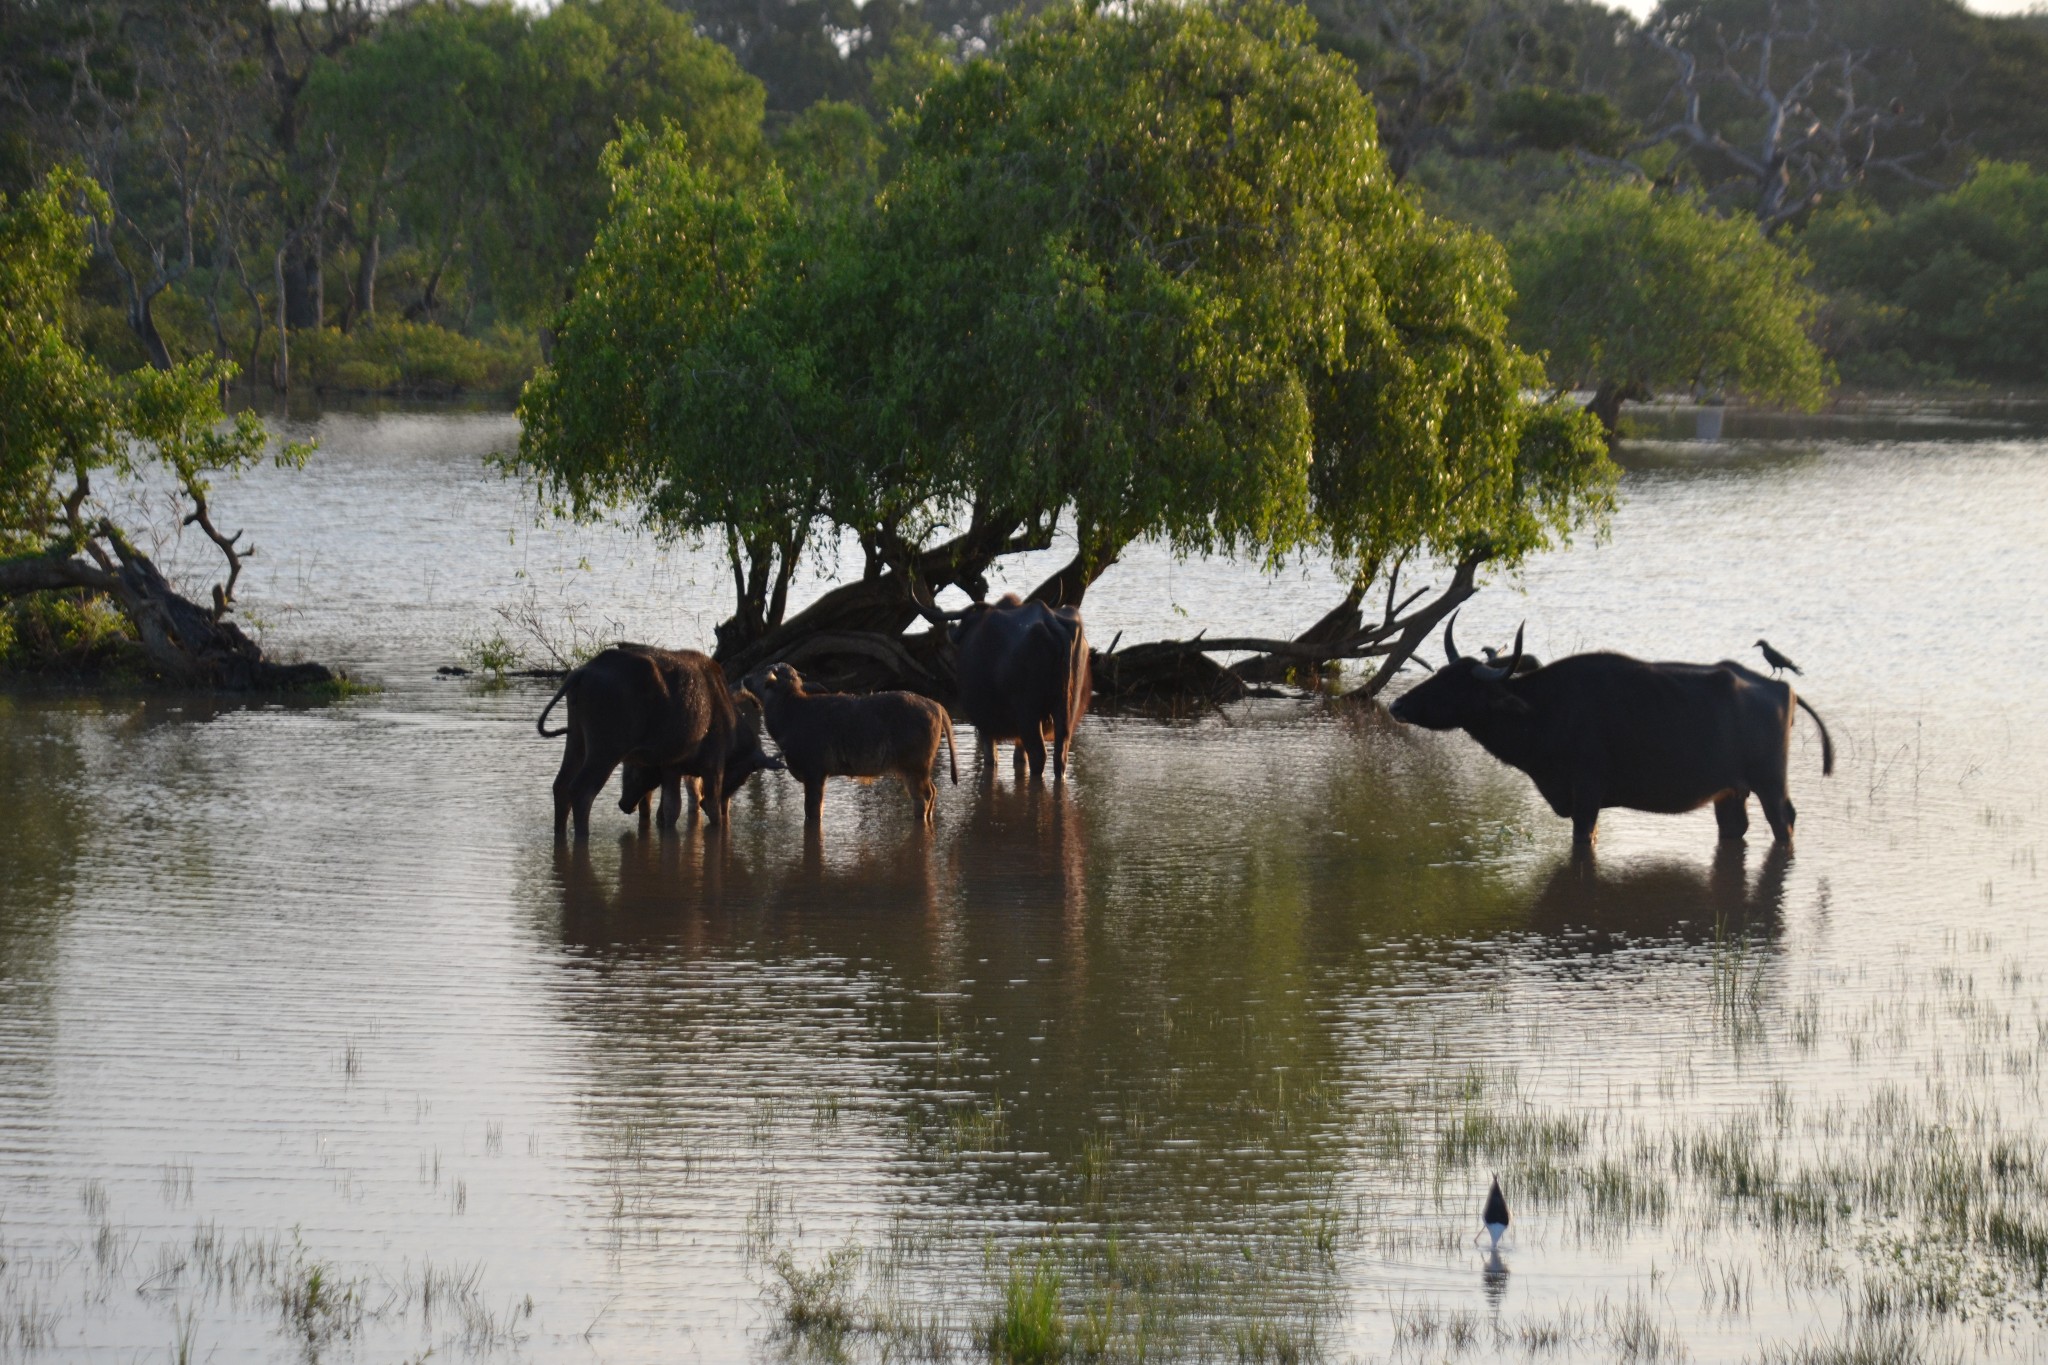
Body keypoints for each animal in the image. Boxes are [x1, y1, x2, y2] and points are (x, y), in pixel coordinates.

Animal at [532, 642, 749, 843]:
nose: (625, 804)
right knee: (582, 791)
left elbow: (662, 808)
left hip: (577, 740)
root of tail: (582, 672)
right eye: (740, 778)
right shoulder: (713, 766)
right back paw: (583, 835)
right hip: (605, 750)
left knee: (561, 785)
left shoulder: (667, 766)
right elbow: (709, 809)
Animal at [745, 658, 958, 822]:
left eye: (763, 671)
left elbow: (813, 811)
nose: (745, 678)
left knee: (923, 797)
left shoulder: (814, 773)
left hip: (914, 767)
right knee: (933, 791)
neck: (789, 714)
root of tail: (936, 705)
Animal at [950, 593, 1097, 777]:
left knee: (1038, 753)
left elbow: (991, 758)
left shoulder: (984, 723)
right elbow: (1019, 756)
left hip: (1028, 712)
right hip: (1066, 709)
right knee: (1060, 752)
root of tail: (1049, 619)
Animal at [1392, 618, 1843, 855]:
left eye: (1454, 685)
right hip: (1730, 792)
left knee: (1784, 821)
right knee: (1736, 827)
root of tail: (1781, 689)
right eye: (1439, 674)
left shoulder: (1587, 793)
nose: (1396, 705)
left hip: (1771, 785)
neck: (1547, 708)